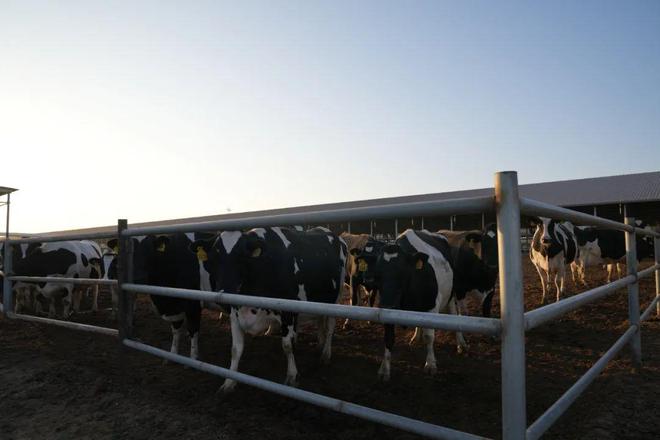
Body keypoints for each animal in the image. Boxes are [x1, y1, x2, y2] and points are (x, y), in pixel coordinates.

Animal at [196, 227, 348, 392]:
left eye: (242, 257)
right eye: (213, 259)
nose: (225, 293)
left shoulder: (288, 312)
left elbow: (287, 345)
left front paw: (292, 376)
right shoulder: (235, 315)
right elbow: (236, 349)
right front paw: (229, 381)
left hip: (336, 297)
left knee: (330, 326)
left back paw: (326, 354)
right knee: (320, 320)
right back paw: (320, 344)